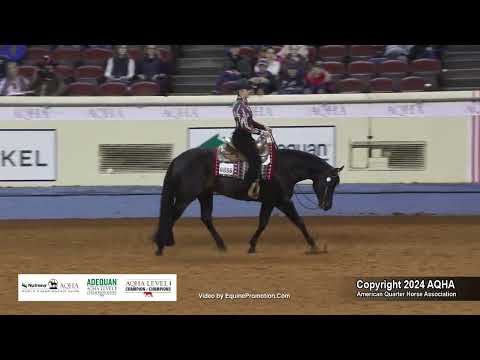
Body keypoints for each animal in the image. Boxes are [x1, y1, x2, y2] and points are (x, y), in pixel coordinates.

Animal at [153, 145, 342, 255]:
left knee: (205, 218)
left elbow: (263, 222)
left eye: (335, 184)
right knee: (172, 216)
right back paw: (160, 245)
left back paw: (221, 246)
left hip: (204, 194)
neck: (283, 168)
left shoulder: (270, 202)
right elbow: (298, 221)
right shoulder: (281, 201)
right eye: (328, 182)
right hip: (186, 196)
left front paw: (252, 246)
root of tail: (177, 160)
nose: (327, 206)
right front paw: (314, 245)